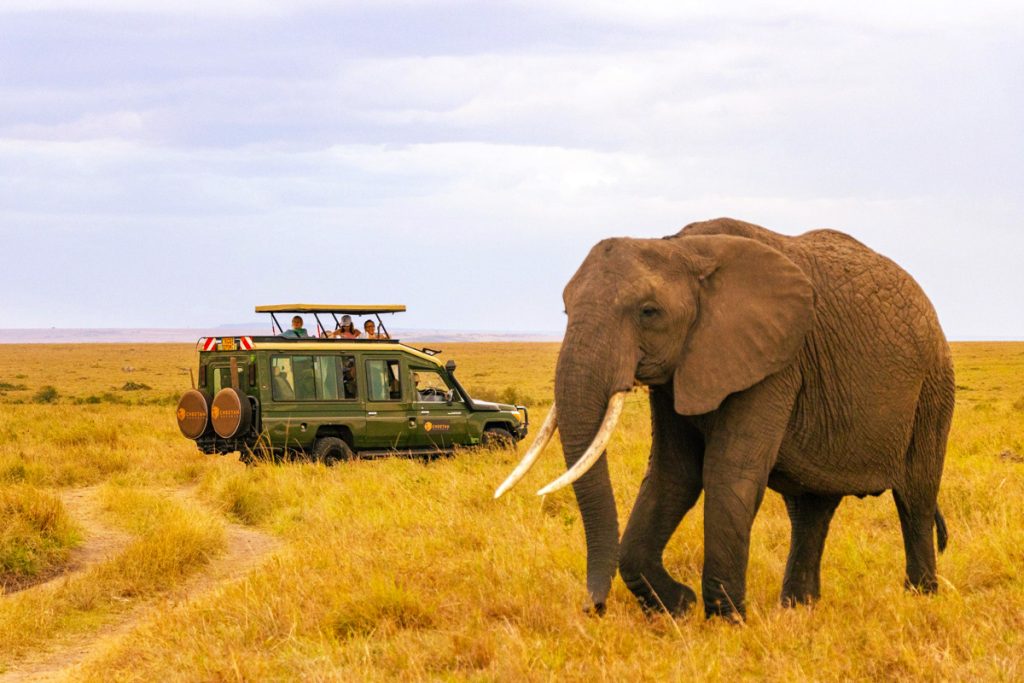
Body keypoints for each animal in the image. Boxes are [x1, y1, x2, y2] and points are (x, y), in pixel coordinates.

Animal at [496, 217, 954, 620]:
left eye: (648, 312)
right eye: (565, 310)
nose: (594, 608)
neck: (681, 247)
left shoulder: (774, 361)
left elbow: (728, 472)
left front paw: (725, 620)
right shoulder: (681, 369)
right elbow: (672, 474)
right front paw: (679, 607)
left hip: (933, 385)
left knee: (915, 495)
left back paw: (920, 598)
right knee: (810, 507)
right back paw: (798, 608)